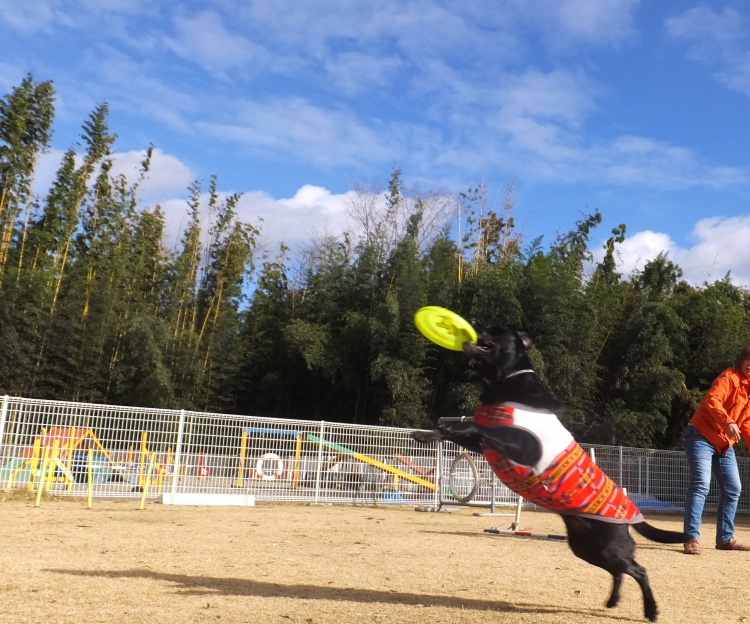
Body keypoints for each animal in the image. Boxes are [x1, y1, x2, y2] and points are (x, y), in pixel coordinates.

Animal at [412, 327, 686, 622]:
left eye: (497, 330)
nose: (475, 324)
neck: (506, 380)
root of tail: (633, 513)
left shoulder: (519, 444)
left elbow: (475, 426)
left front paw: (452, 426)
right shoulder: (484, 445)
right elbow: (460, 433)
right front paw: (426, 434)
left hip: (608, 546)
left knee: (639, 570)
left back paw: (651, 610)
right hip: (586, 547)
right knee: (619, 572)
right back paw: (613, 601)